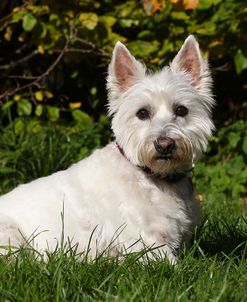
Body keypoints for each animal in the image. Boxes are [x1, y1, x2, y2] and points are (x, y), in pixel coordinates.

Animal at [0, 34, 214, 262]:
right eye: (142, 113)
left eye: (181, 110)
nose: (164, 144)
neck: (153, 178)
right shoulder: (147, 245)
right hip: (12, 237)